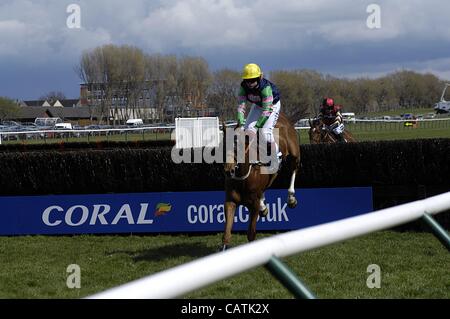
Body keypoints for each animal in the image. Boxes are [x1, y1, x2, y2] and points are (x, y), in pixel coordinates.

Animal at [221, 114, 298, 251]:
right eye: (222, 146)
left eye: (237, 146)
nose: (228, 170)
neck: (242, 177)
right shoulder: (230, 201)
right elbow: (226, 233)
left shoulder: (254, 205)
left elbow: (251, 233)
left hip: (294, 153)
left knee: (294, 169)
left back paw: (291, 198)